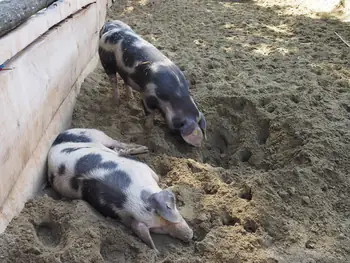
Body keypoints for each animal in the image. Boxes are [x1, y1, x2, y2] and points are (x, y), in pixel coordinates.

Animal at [47, 129, 193, 253]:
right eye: (158, 229)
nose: (189, 236)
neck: (133, 198)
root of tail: (58, 137)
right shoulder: (145, 169)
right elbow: (157, 176)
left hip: (95, 134)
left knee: (117, 144)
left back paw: (143, 148)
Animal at [98, 20, 206, 148]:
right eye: (179, 125)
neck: (175, 96)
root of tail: (110, 26)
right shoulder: (147, 95)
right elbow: (149, 112)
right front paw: (148, 128)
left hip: (125, 71)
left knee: (125, 81)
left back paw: (131, 99)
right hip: (106, 61)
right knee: (113, 80)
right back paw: (116, 101)